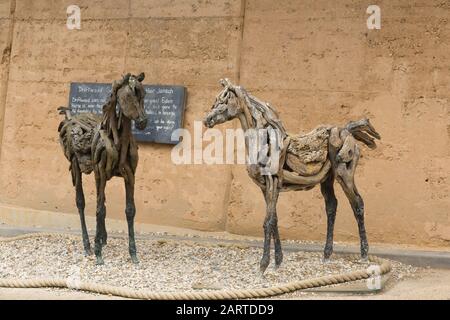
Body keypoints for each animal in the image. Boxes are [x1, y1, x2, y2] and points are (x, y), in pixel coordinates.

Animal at [58, 72, 148, 264]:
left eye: (144, 94)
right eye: (128, 96)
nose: (143, 122)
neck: (117, 142)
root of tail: (70, 119)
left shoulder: (129, 176)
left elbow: (129, 210)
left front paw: (133, 254)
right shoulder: (100, 172)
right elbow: (99, 210)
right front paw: (98, 253)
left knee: (102, 200)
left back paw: (102, 238)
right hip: (77, 168)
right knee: (81, 202)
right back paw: (88, 246)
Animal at [206, 79, 382, 274]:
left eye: (223, 101)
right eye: (216, 100)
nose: (208, 120)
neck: (263, 142)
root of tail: (348, 130)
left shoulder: (273, 183)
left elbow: (267, 222)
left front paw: (263, 266)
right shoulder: (265, 187)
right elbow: (274, 220)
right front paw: (277, 261)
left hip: (345, 174)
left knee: (357, 203)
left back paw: (364, 255)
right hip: (327, 179)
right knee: (331, 205)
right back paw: (327, 255)